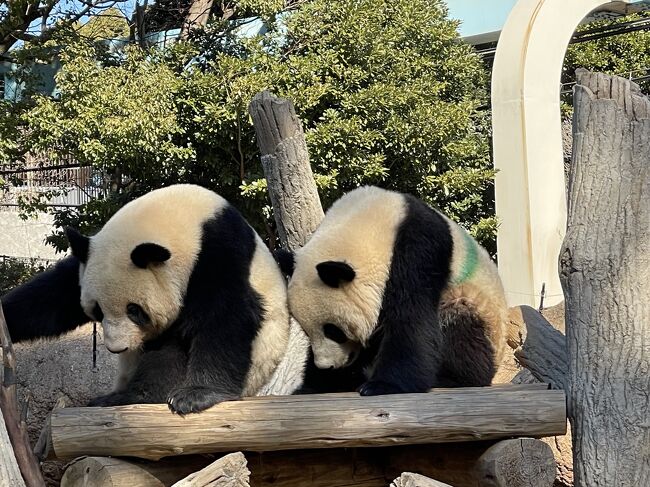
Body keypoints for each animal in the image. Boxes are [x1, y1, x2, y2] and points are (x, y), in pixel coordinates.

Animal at [1, 185, 286, 414]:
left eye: (134, 310)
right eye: (97, 311)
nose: (117, 349)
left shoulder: (220, 252)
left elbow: (226, 318)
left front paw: (197, 395)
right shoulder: (86, 262)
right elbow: (52, 298)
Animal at [276, 187, 508, 396]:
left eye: (334, 331)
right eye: (307, 332)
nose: (328, 366)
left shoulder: (418, 251)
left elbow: (411, 318)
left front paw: (383, 386)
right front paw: (315, 385)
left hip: (474, 309)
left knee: (459, 327)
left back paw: (452, 379)